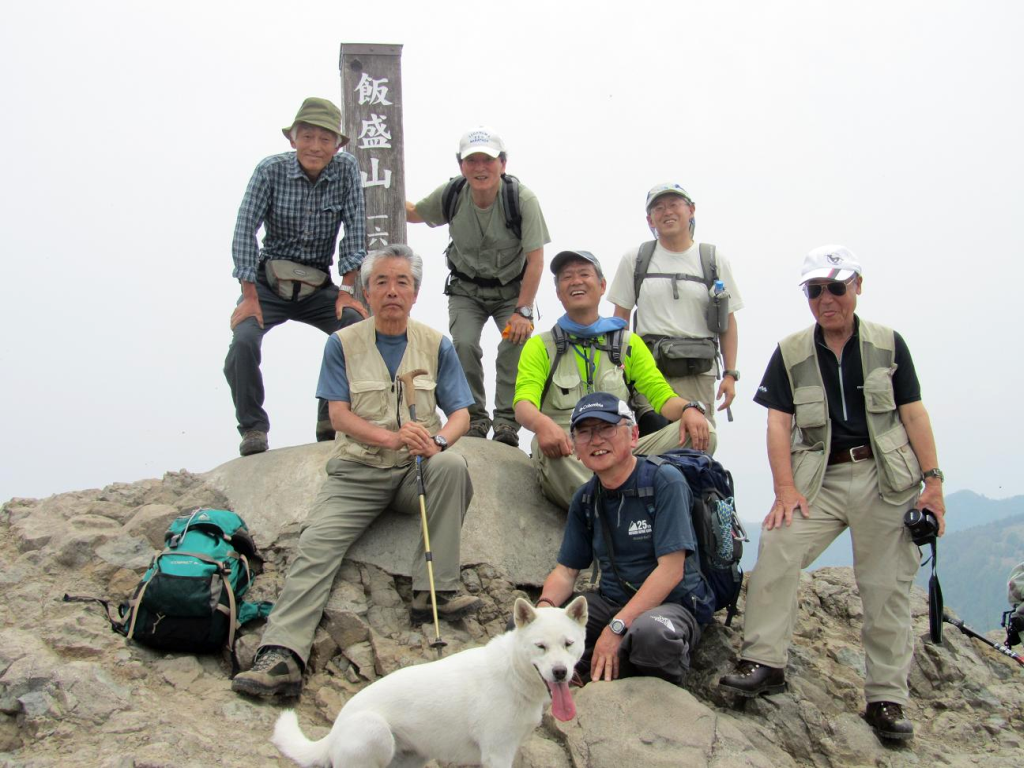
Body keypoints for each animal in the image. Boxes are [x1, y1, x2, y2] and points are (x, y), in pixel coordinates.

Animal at [272, 593, 589, 768]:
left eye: (568, 644)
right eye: (540, 647)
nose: (560, 672)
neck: (513, 674)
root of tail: (333, 732)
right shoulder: (496, 754)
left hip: (413, 757)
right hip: (376, 732)